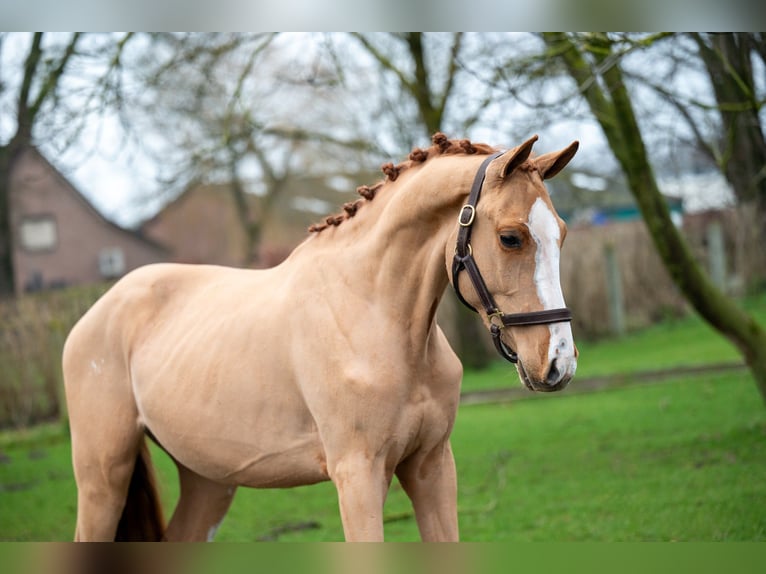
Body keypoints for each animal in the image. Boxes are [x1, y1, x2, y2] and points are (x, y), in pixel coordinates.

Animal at [63, 133, 580, 544]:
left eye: (561, 234)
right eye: (511, 237)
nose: (559, 363)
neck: (374, 316)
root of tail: (96, 312)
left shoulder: (432, 466)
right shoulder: (358, 476)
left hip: (208, 480)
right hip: (102, 478)